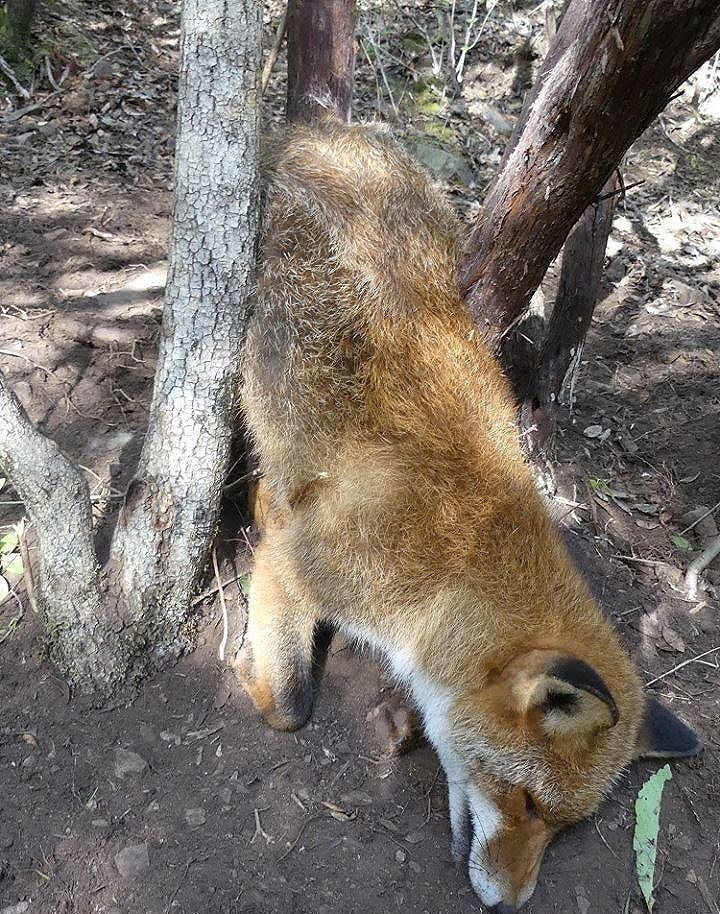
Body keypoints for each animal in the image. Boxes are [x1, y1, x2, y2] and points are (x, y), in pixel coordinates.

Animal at [236, 118, 700, 911]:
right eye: (528, 803)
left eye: (563, 827)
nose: (513, 903)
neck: (447, 577)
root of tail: (319, 132)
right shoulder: (298, 565)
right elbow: (288, 705)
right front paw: (249, 678)